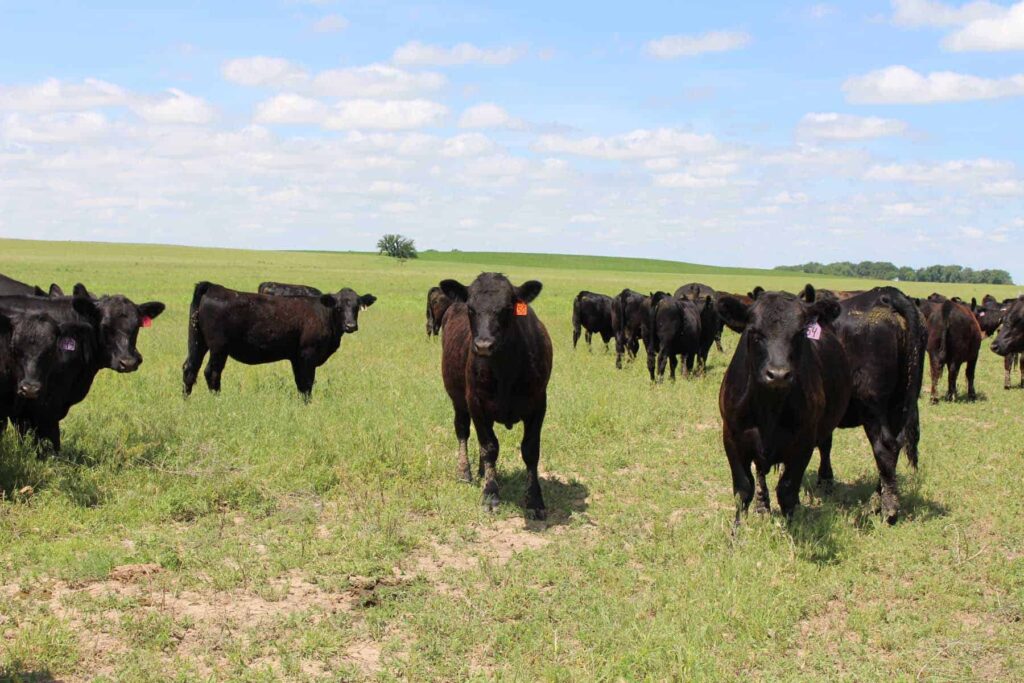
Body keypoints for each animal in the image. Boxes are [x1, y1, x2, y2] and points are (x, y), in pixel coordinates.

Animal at [183, 282, 375, 400]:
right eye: (339, 307)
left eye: (357, 306)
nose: (351, 325)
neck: (323, 314)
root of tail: (213, 287)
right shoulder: (307, 355)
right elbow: (307, 383)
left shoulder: (296, 357)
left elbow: (300, 383)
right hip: (219, 347)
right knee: (211, 372)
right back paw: (218, 400)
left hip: (198, 342)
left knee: (190, 368)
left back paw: (186, 401)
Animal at [439, 273, 552, 519]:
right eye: (471, 308)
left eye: (507, 308)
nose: (483, 345)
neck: (506, 370)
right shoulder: (476, 403)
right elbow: (489, 447)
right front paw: (490, 494)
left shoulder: (538, 404)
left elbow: (530, 450)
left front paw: (535, 500)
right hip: (458, 400)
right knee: (463, 431)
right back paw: (465, 472)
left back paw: (484, 473)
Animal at [717, 290, 851, 524]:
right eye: (755, 333)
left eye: (800, 334)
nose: (778, 374)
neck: (768, 408)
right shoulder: (732, 438)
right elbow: (743, 489)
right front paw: (737, 529)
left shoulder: (803, 443)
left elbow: (787, 490)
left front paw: (792, 524)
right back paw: (763, 504)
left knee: (826, 448)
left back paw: (826, 481)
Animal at [808, 286, 926, 523]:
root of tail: (888, 295)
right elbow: (826, 443)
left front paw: (824, 481)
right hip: (900, 405)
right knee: (893, 452)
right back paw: (877, 500)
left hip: (872, 407)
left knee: (884, 447)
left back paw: (887, 509)